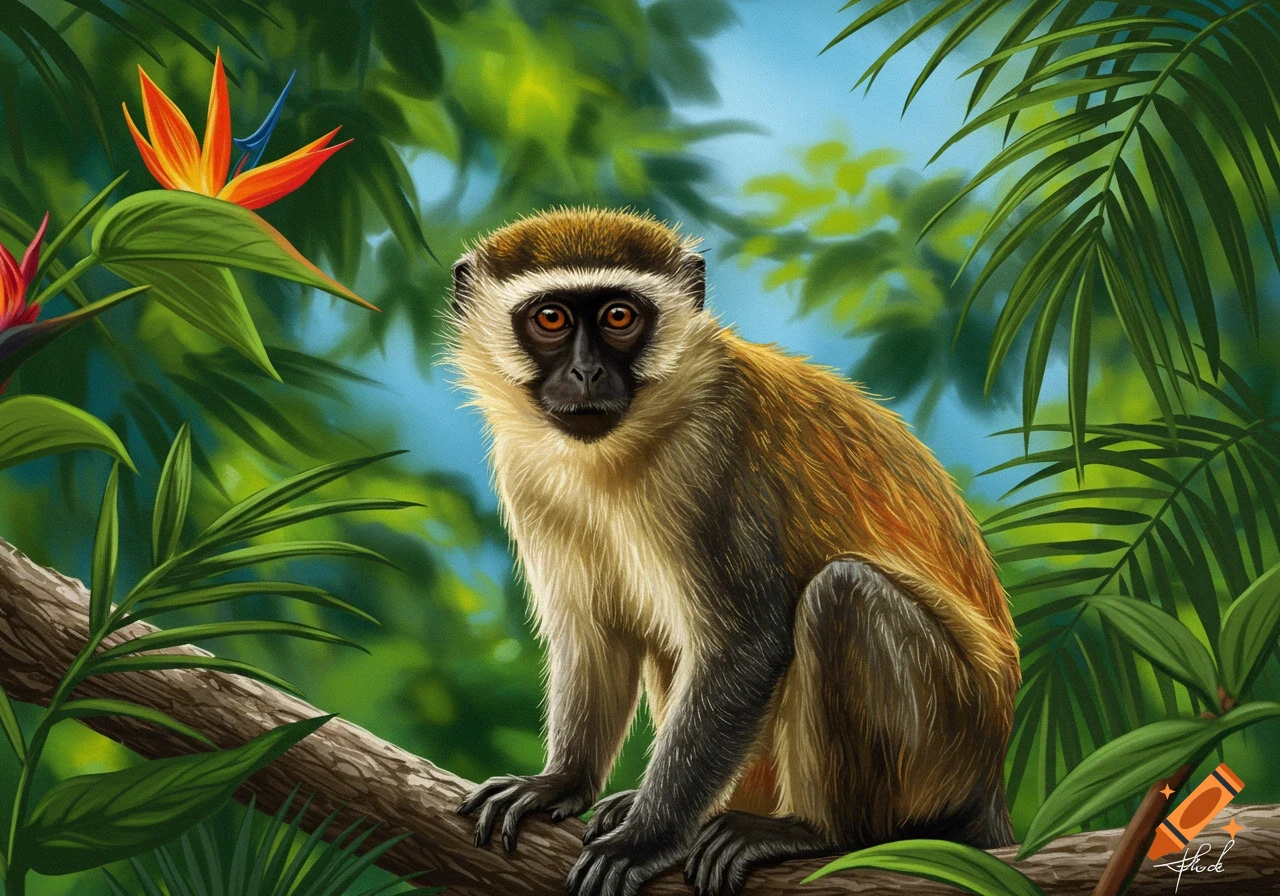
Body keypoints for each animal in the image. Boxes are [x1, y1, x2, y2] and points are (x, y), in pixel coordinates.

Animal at [447, 208, 1020, 896]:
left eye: (619, 316)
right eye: (552, 318)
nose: (586, 373)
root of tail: (991, 780)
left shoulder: (712, 458)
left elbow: (746, 646)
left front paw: (646, 839)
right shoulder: (525, 471)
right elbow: (594, 631)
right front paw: (560, 783)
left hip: (950, 737)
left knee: (843, 595)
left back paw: (821, 832)